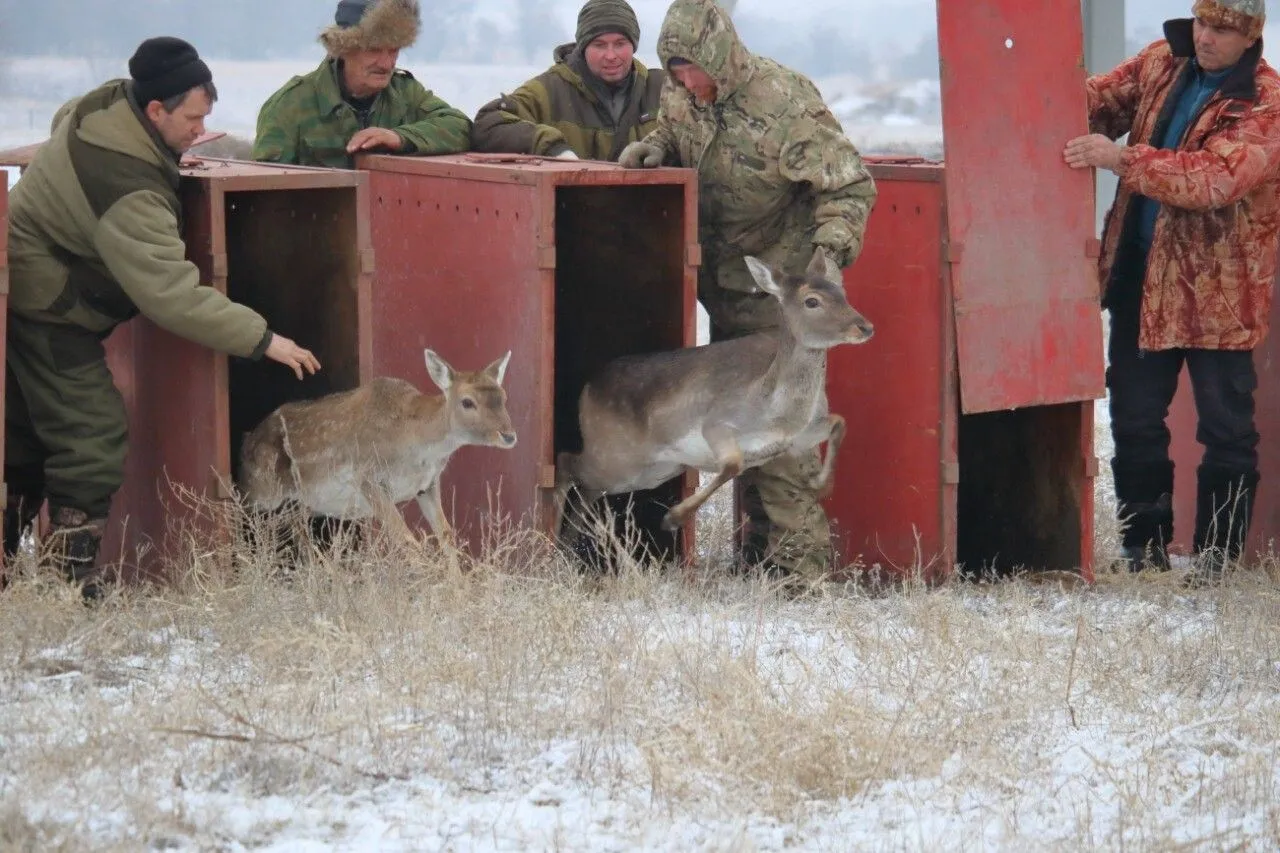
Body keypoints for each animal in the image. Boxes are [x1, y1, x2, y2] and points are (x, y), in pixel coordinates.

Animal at [238, 348, 517, 540]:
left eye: (503, 397)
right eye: (467, 402)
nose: (509, 435)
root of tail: (246, 440)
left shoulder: (427, 484)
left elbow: (447, 535)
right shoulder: (367, 477)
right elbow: (407, 541)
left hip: (299, 505)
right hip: (260, 491)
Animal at [555, 245, 875, 535]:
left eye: (842, 293)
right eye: (812, 301)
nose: (865, 327)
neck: (774, 412)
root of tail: (587, 388)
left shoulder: (795, 440)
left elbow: (839, 423)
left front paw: (820, 484)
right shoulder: (717, 422)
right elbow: (732, 465)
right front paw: (672, 518)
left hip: (648, 471)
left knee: (585, 491)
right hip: (615, 454)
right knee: (565, 465)